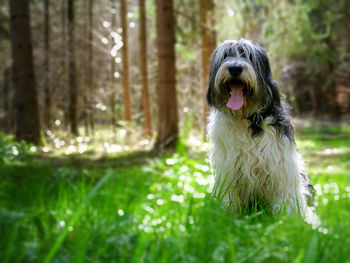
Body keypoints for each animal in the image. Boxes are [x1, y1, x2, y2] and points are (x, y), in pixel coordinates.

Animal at [206, 39, 314, 217]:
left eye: (248, 56)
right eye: (226, 55)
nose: (235, 68)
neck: (246, 118)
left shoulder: (281, 165)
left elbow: (287, 196)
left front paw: (293, 220)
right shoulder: (229, 168)